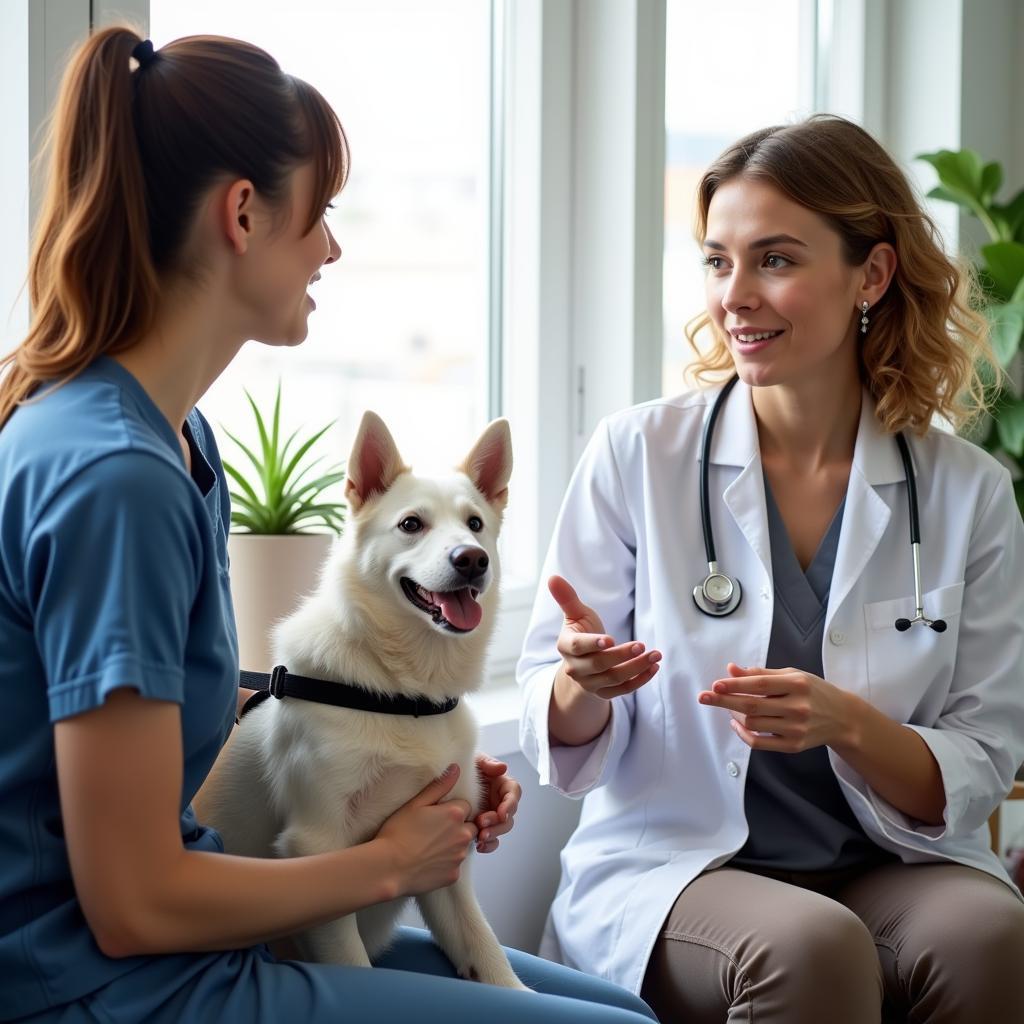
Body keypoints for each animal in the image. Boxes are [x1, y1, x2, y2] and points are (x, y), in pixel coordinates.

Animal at [195, 411, 524, 987]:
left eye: (475, 524)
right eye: (411, 524)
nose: (472, 559)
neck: (404, 695)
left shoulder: (449, 864)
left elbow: (489, 957)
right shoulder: (317, 844)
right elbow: (350, 958)